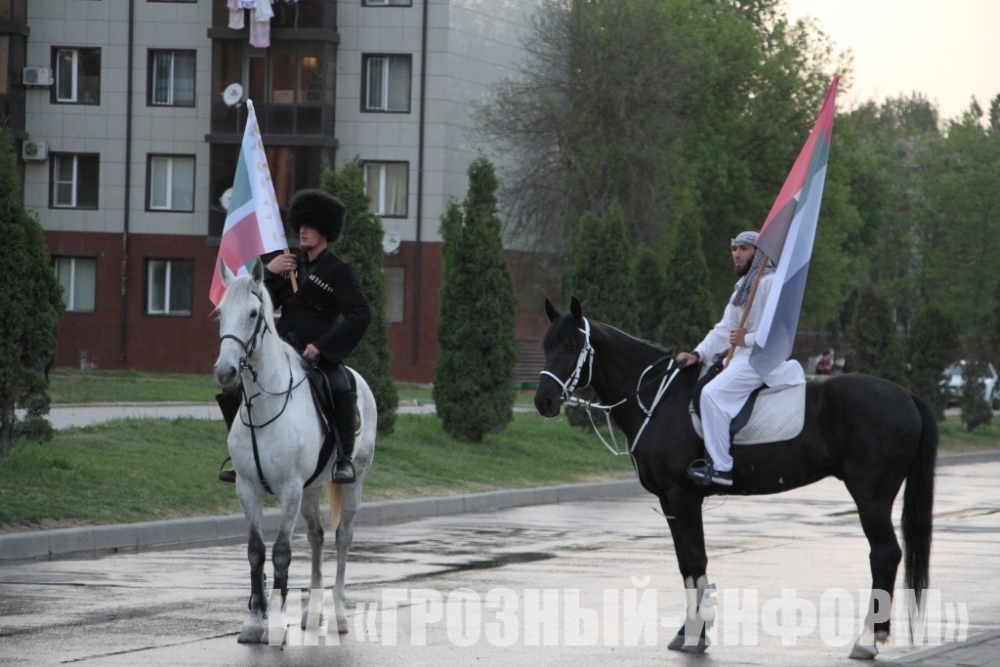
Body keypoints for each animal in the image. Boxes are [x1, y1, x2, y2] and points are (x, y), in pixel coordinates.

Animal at [213, 260, 377, 644]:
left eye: (253, 313)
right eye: (221, 312)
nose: (225, 371)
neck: (265, 406)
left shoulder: (288, 489)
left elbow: (282, 552)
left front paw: (274, 623)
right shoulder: (247, 488)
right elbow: (256, 552)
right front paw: (254, 621)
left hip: (354, 481)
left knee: (343, 537)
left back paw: (339, 614)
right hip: (311, 489)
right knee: (317, 537)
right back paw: (312, 613)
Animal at [534, 297, 937, 659]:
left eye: (572, 347)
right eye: (546, 345)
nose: (544, 401)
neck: (660, 398)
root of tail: (906, 394)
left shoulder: (683, 496)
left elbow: (696, 559)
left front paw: (698, 634)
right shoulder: (669, 501)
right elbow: (685, 563)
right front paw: (688, 631)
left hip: (871, 496)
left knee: (884, 554)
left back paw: (867, 640)